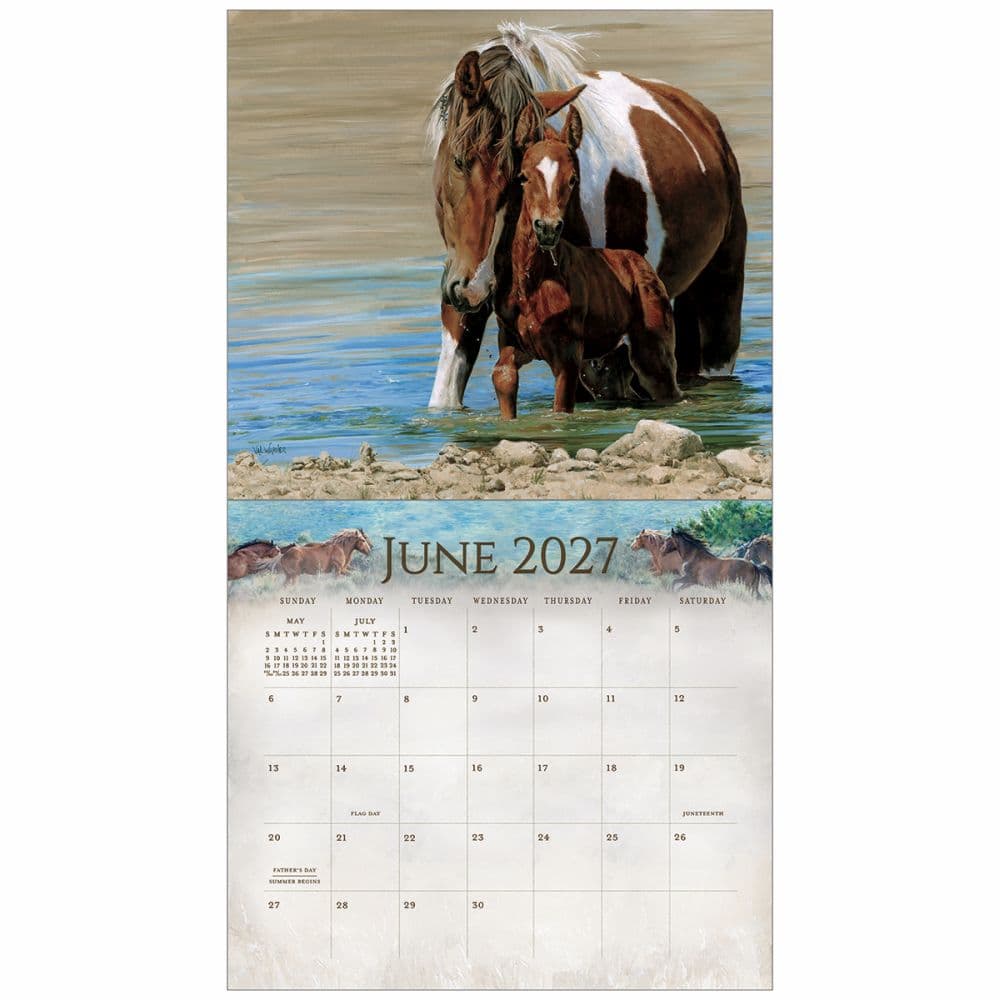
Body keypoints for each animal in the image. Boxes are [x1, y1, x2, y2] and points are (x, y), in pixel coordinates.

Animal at [494, 106, 681, 416]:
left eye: (572, 179)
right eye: (523, 176)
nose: (547, 228)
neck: (533, 283)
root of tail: (639, 263)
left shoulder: (567, 356)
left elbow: (561, 409)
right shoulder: (512, 344)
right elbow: (503, 380)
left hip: (653, 352)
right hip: (613, 360)